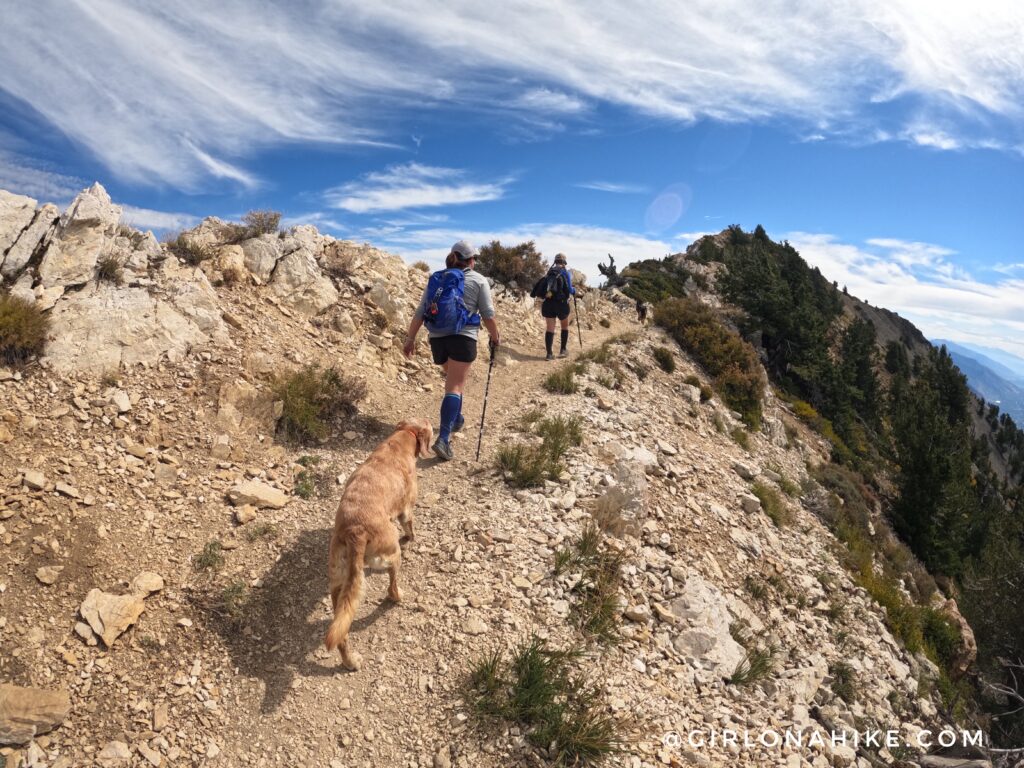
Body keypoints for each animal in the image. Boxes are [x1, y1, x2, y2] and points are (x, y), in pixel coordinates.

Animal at [327, 417, 432, 671]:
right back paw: (398, 596)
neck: (403, 438)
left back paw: (350, 661)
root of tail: (355, 532)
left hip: (339, 585)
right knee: (392, 585)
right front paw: (412, 537)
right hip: (392, 554)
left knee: (342, 632)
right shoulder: (406, 509)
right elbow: (410, 525)